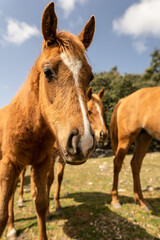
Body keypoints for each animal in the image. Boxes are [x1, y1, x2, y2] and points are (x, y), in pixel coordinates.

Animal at [0, 2, 95, 240]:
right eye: (47, 71)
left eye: (90, 76)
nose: (83, 143)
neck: (30, 126)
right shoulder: (9, 164)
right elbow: (1, 213)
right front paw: (9, 226)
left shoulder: (42, 164)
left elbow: (41, 205)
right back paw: (12, 228)